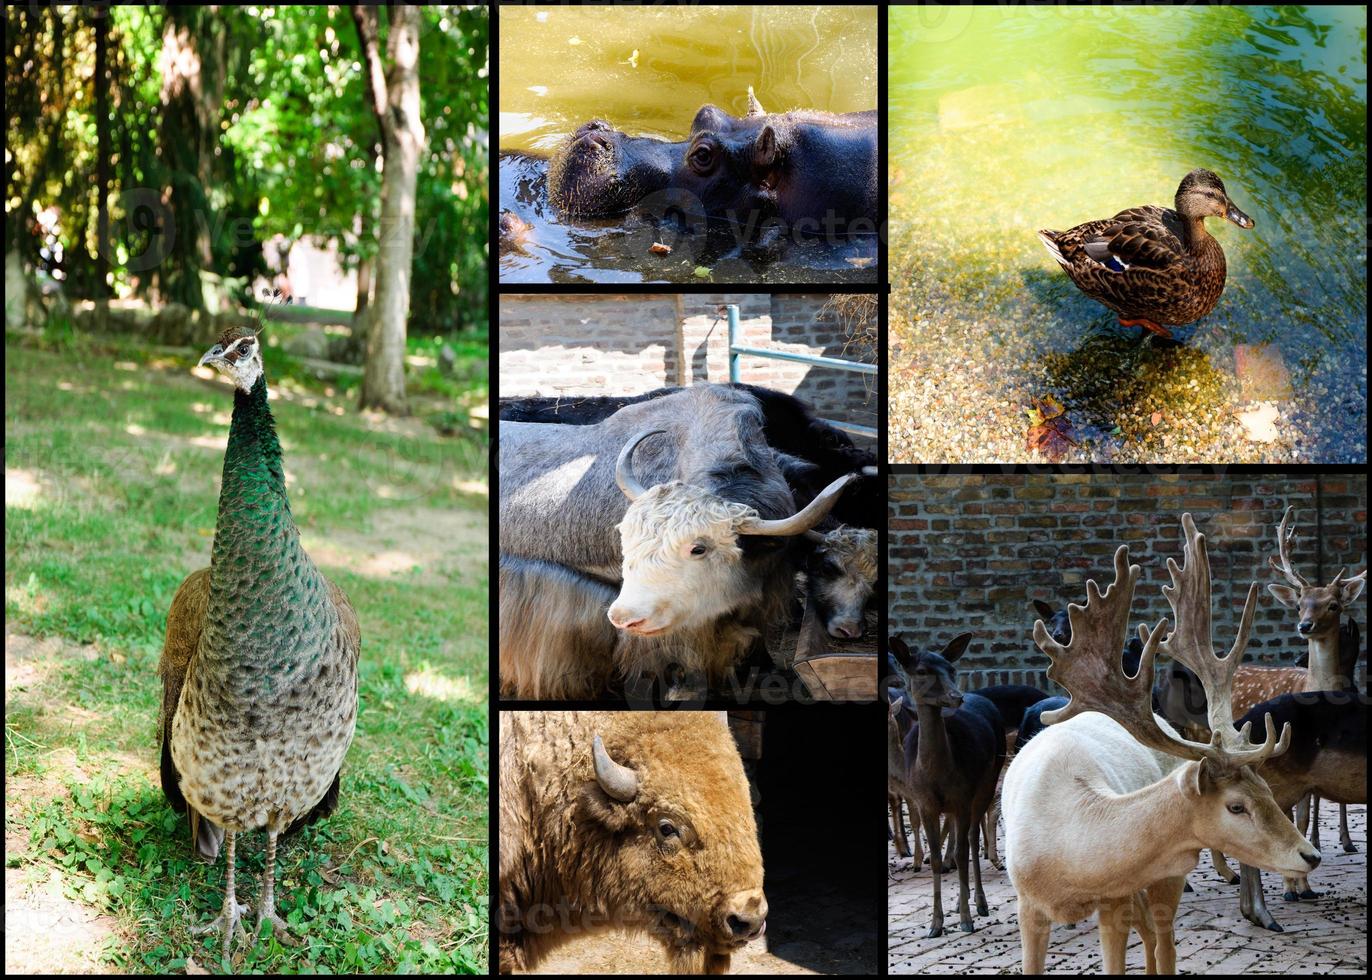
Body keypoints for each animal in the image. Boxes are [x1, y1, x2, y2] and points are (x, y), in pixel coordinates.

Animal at [883, 628, 1004, 933]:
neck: (936, 773)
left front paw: (965, 920)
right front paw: (935, 924)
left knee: (972, 837)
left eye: (951, 669)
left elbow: (961, 852)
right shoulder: (925, 802)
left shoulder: (961, 797)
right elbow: (935, 858)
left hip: (986, 781)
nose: (956, 696)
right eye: (922, 671)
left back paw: (979, 903)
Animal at [1004, 510, 1322, 971]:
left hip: (1167, 875)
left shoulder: (1117, 899)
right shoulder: (1028, 904)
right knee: (1153, 935)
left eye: (1265, 788)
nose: (1310, 855)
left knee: (1163, 940)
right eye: (1236, 806)